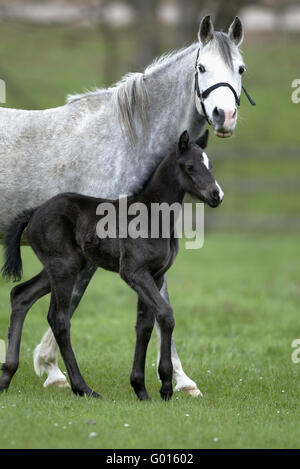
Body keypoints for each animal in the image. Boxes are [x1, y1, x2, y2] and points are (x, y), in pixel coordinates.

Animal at [1, 130, 223, 400]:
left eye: (210, 165)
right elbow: (166, 315)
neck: (151, 216)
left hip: (59, 268)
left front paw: (141, 388)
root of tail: (34, 212)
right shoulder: (134, 272)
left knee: (20, 295)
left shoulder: (155, 275)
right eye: (190, 166)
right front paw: (166, 386)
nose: (216, 195)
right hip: (64, 267)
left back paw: (6, 376)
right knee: (58, 318)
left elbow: (145, 326)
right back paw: (82, 387)